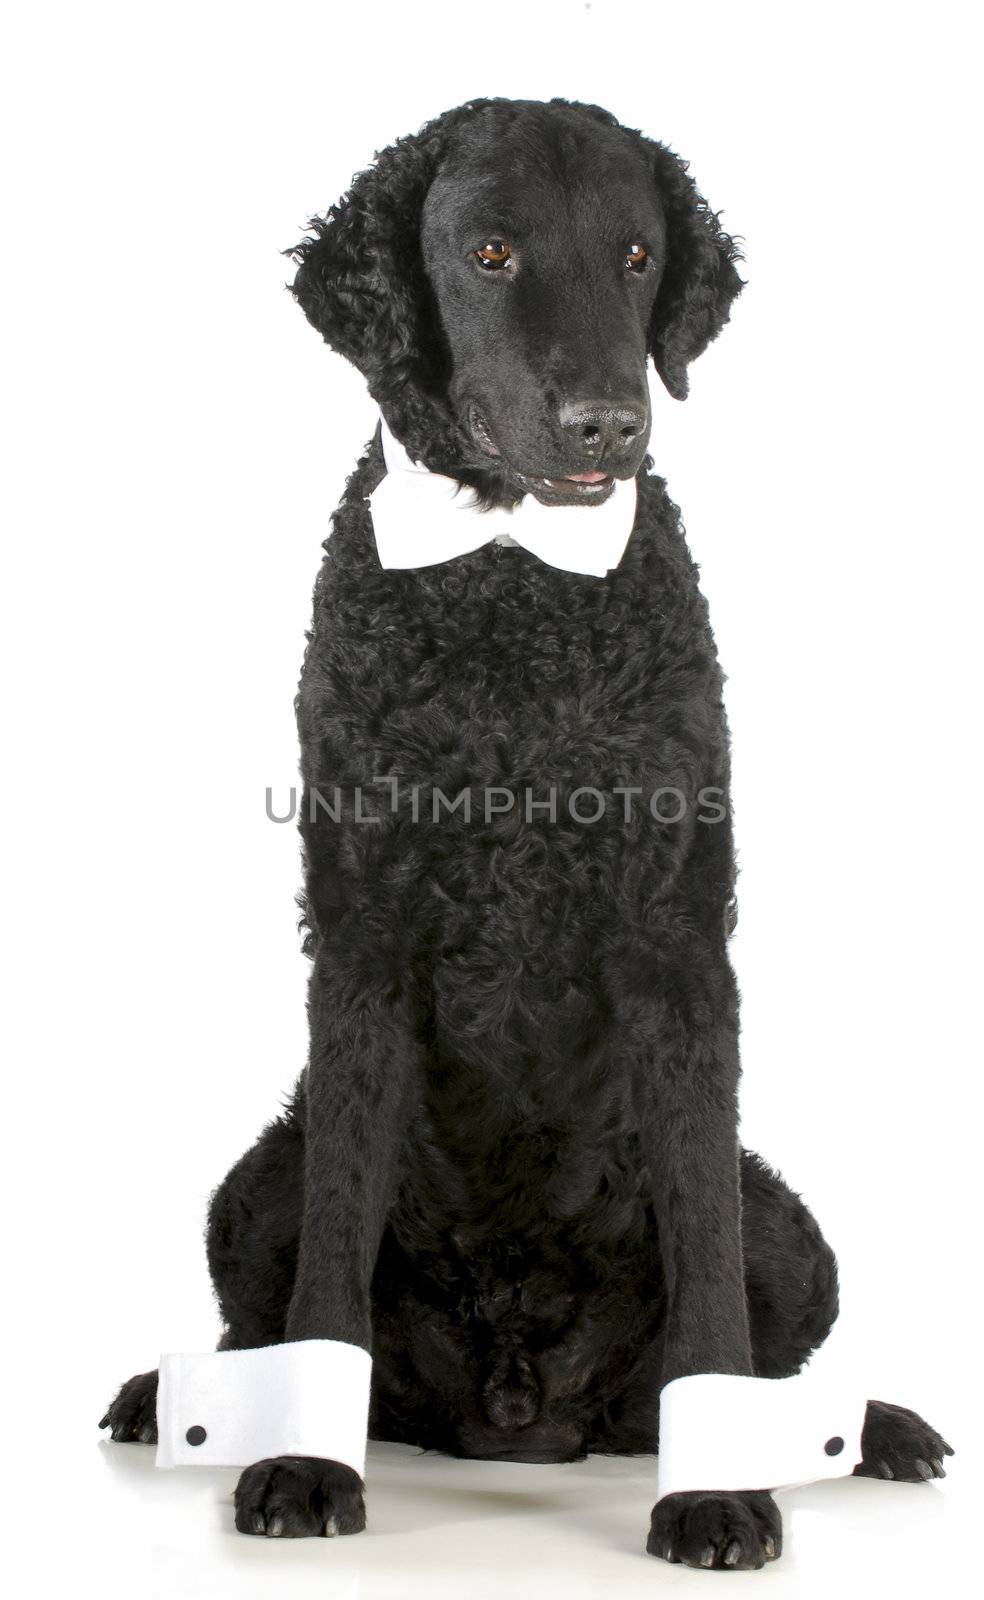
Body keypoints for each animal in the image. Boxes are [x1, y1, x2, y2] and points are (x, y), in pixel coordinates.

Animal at [102, 96, 953, 1561]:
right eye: (491, 251)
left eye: (636, 254)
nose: (608, 424)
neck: (512, 596)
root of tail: (520, 1404)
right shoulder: (363, 945)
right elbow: (332, 1266)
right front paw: (309, 1467)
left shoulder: (680, 952)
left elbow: (711, 1290)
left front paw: (716, 1493)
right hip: (249, 1189)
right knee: (261, 1318)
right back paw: (172, 1400)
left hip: (792, 1228)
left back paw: (871, 1427)